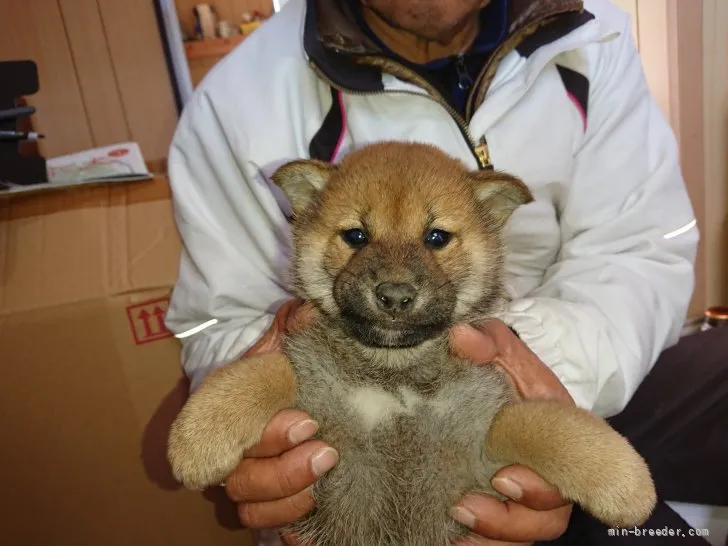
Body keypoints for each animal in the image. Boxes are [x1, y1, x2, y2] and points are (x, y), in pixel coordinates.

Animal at [168, 141, 656, 544]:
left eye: (436, 237)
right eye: (357, 236)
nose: (395, 295)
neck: (395, 376)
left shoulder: (483, 445)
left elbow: (548, 425)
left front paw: (623, 481)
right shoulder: (312, 397)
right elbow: (260, 371)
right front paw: (199, 438)